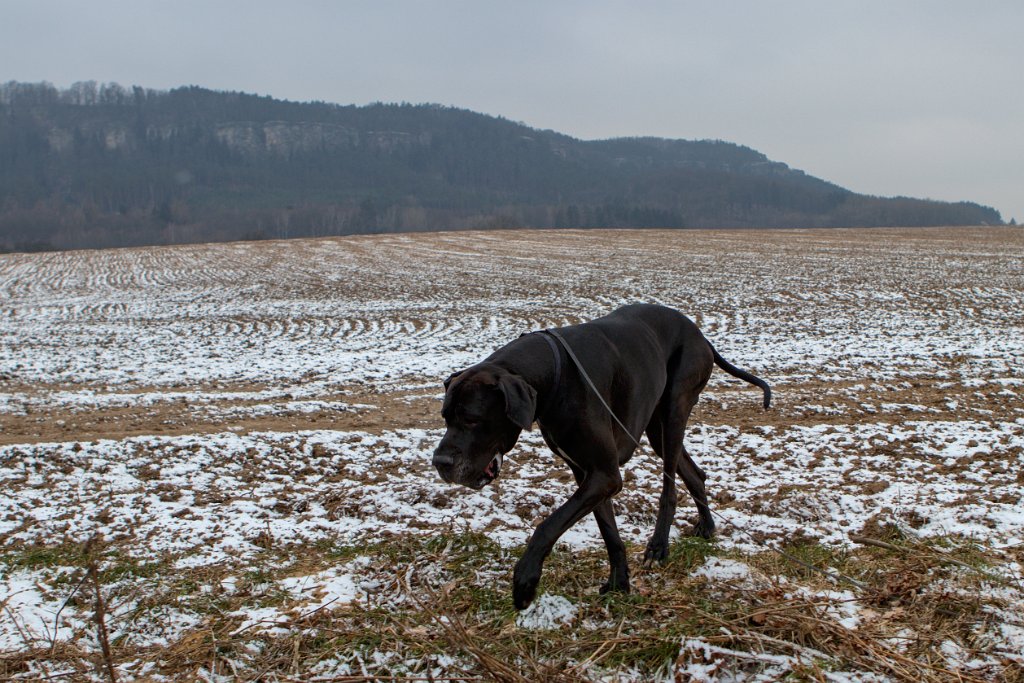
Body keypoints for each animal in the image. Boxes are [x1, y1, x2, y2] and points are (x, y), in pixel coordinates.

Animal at [430, 305, 770, 610]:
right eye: (445, 417)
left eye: (472, 419)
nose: (440, 463)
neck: (555, 375)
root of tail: (700, 334)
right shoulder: (589, 474)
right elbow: (609, 533)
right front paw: (620, 583)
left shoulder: (604, 475)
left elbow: (548, 525)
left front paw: (525, 581)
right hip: (656, 429)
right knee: (694, 473)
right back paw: (708, 527)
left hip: (675, 409)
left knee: (670, 487)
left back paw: (659, 545)